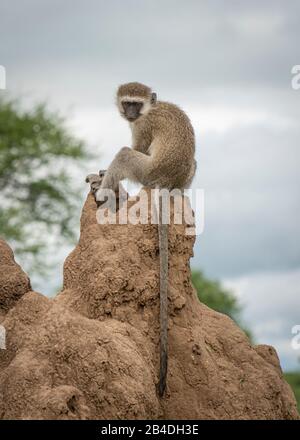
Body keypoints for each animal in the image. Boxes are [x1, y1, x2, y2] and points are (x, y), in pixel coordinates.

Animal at [95, 81, 196, 398]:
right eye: (126, 102)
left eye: (135, 105)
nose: (129, 113)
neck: (152, 107)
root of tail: (165, 183)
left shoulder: (143, 126)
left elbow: (136, 147)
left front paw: (102, 173)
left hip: (145, 171)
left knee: (126, 154)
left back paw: (103, 193)